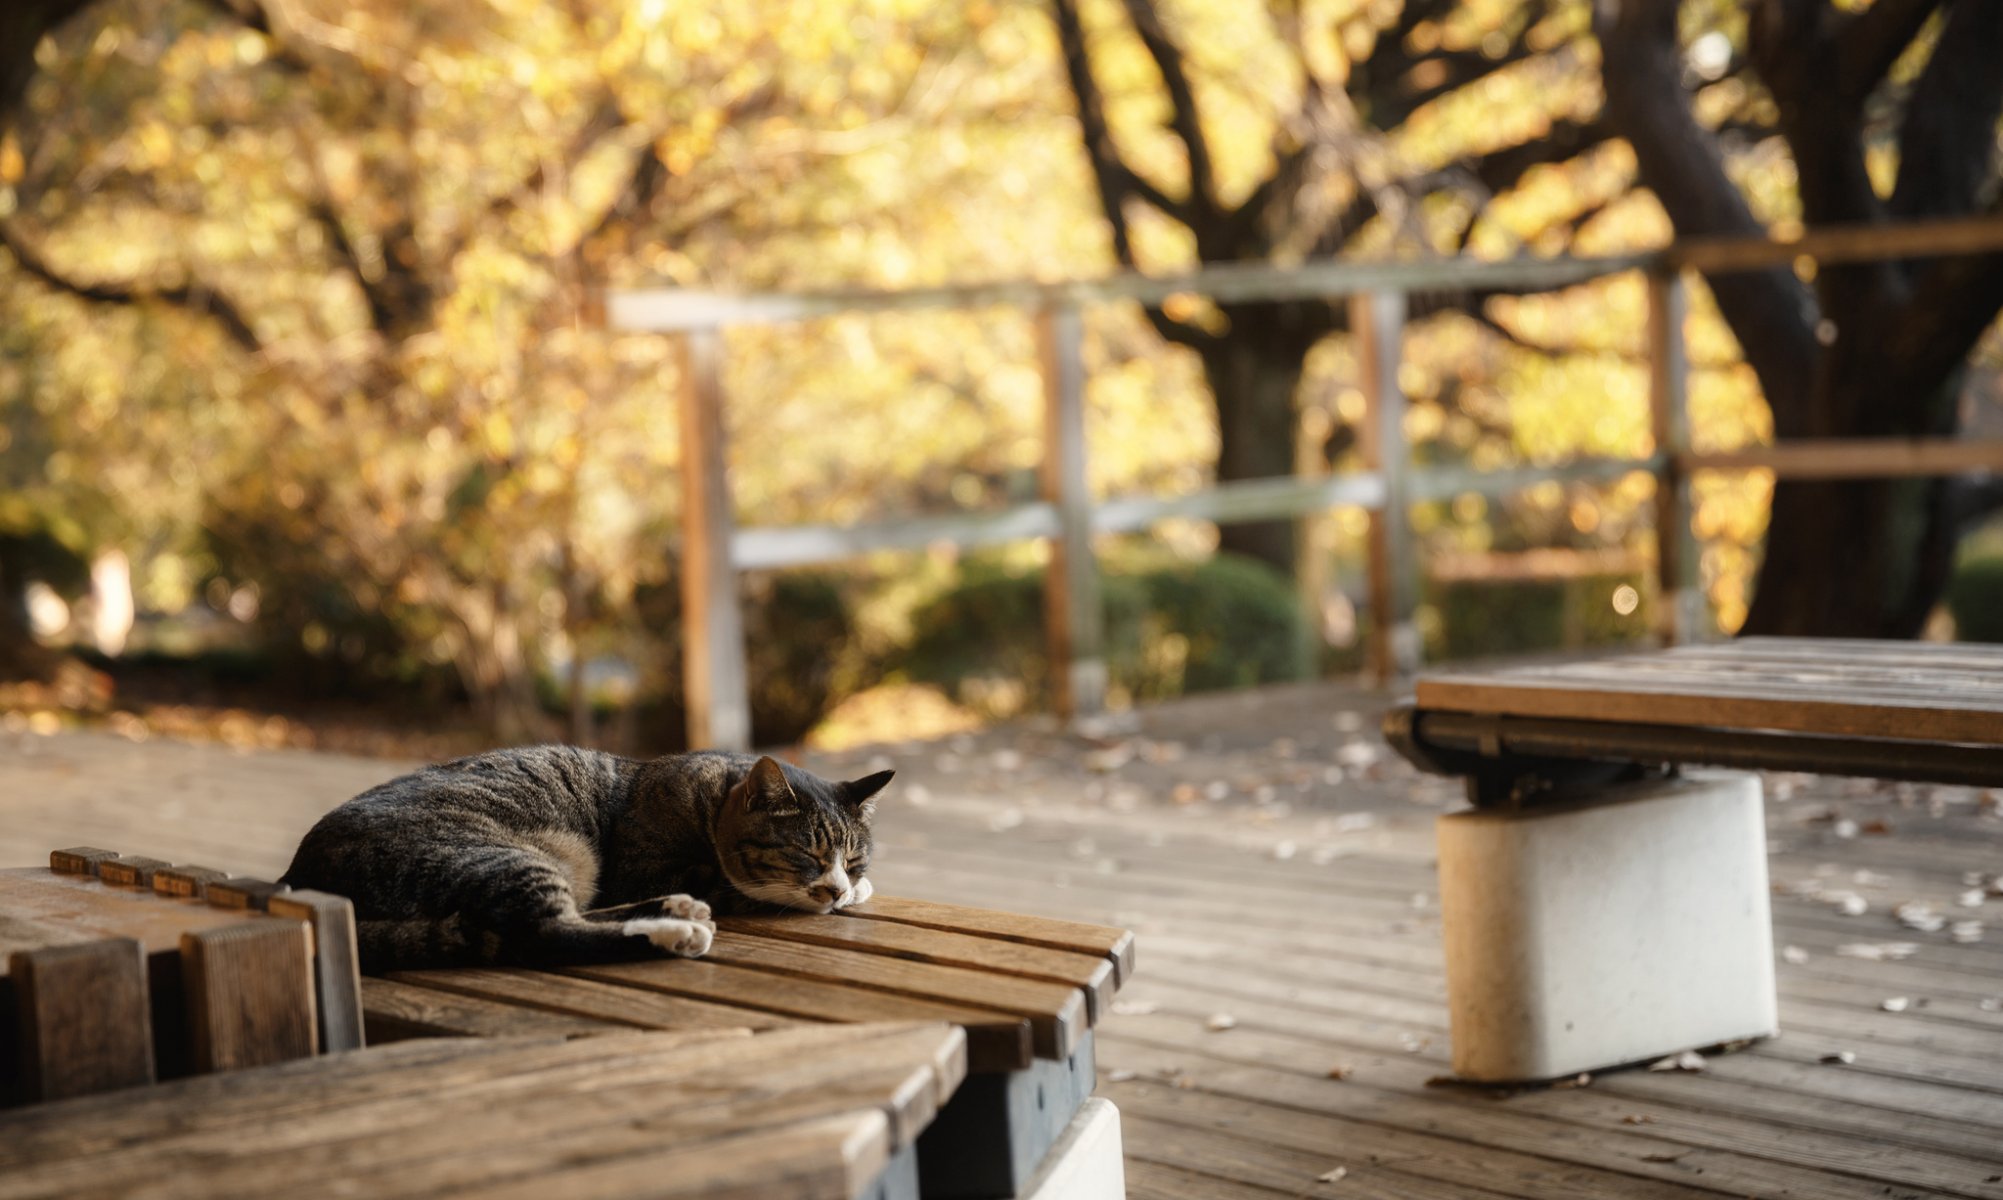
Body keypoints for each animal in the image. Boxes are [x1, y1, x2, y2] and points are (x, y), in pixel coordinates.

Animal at [278, 745, 889, 973]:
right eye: (806, 853)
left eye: (854, 858)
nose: (838, 887)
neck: (711, 799)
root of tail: (297, 874)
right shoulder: (647, 867)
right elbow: (740, 888)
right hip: (505, 857)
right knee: (548, 931)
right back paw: (674, 932)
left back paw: (674, 911)